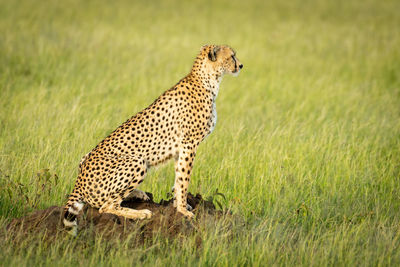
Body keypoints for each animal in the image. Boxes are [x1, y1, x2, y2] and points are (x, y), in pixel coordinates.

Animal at [63, 44, 244, 234]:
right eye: (232, 56)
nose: (240, 65)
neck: (207, 80)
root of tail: (79, 181)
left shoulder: (181, 148)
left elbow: (178, 179)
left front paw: (179, 205)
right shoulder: (189, 144)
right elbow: (184, 180)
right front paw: (182, 210)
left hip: (87, 158)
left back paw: (137, 194)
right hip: (136, 162)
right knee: (105, 206)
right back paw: (141, 213)